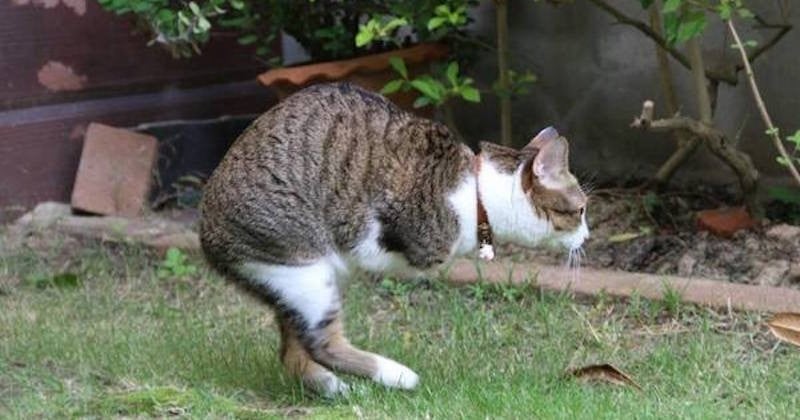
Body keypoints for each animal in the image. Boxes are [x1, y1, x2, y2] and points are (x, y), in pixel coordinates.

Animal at [200, 83, 588, 398]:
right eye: (582, 210)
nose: (588, 235)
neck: (477, 193)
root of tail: (206, 238)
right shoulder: (383, 225)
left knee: (294, 352)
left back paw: (335, 388)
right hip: (304, 269)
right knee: (322, 344)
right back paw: (396, 376)